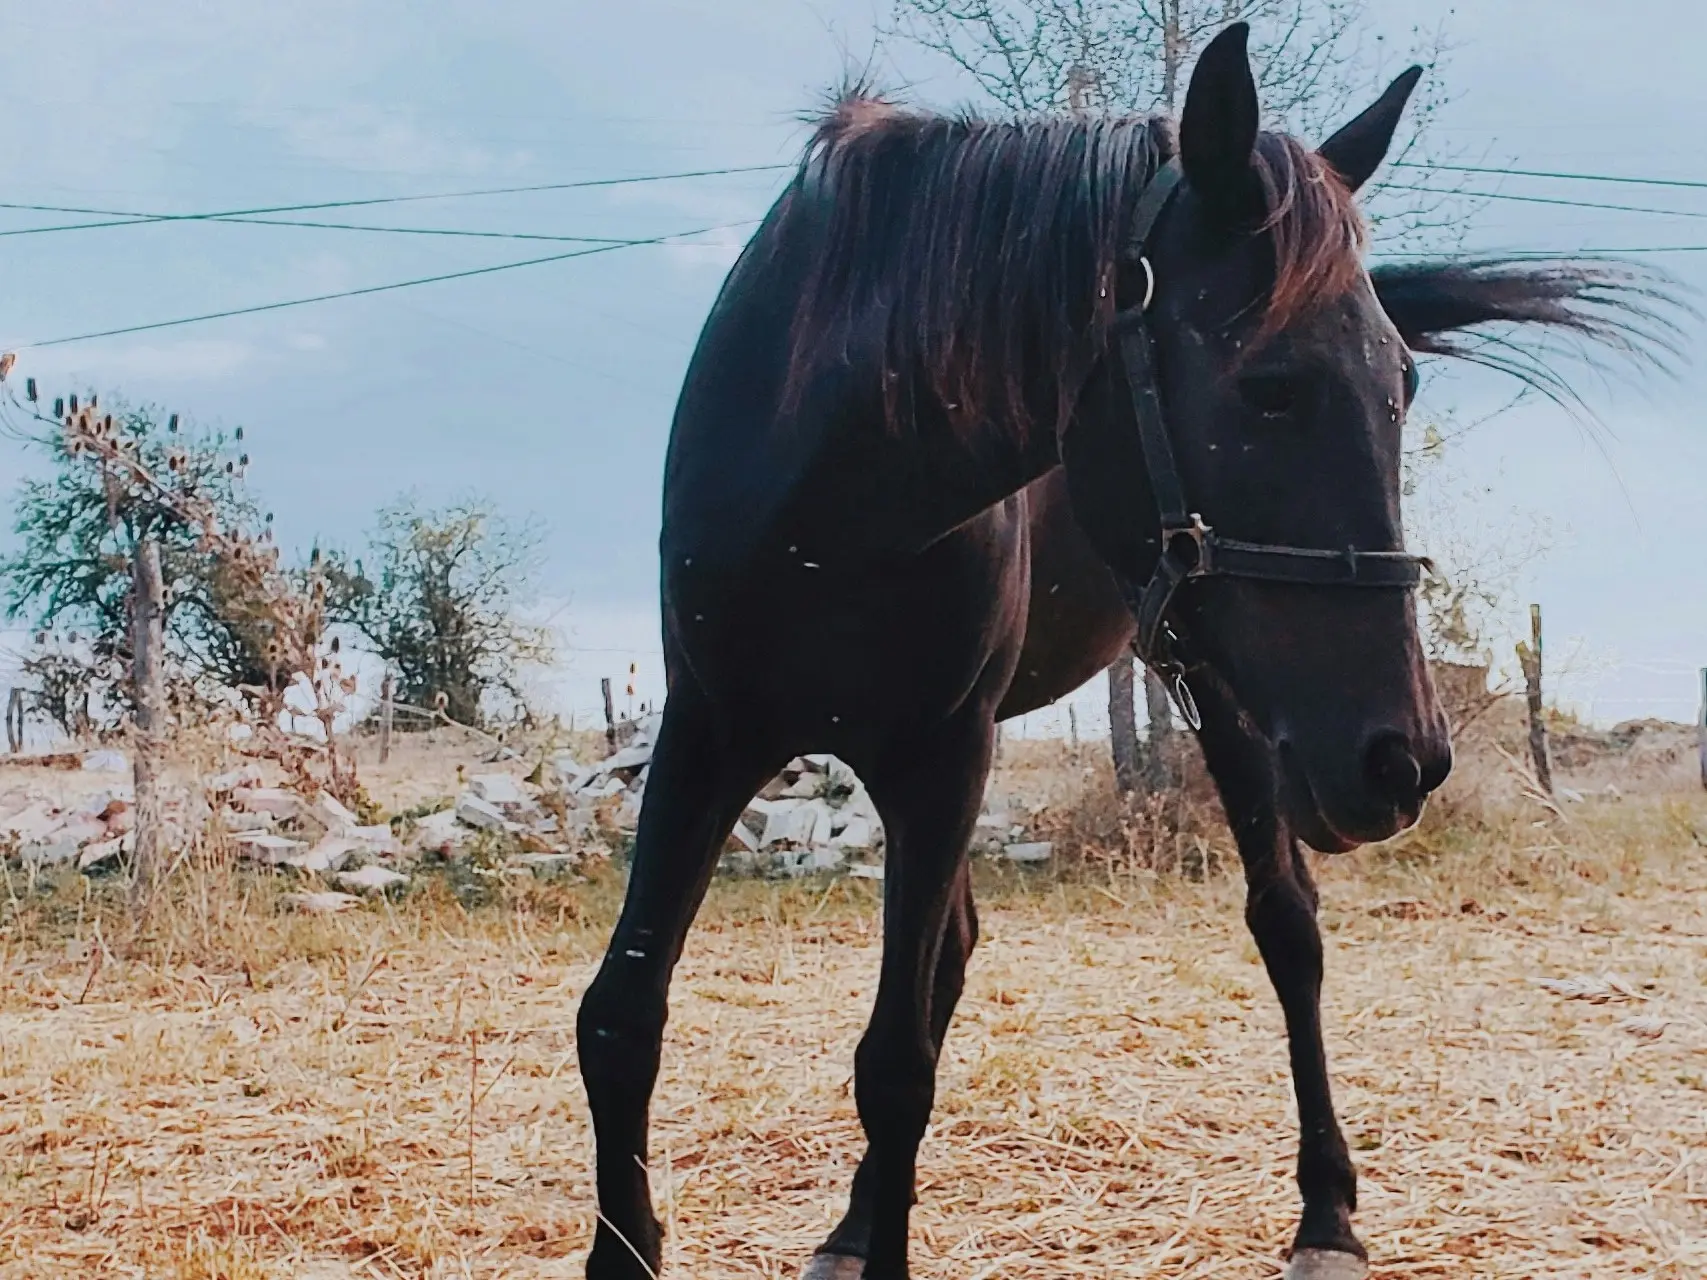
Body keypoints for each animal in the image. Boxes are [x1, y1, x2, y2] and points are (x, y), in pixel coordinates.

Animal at [580, 22, 1672, 1280]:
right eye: (1272, 386)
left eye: (1402, 382)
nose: (1405, 759)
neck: (830, 499)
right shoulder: (710, 732)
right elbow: (622, 1017)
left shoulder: (937, 756)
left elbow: (895, 1062)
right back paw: (851, 1226)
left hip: (1223, 701)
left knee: (1287, 927)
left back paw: (1327, 1215)